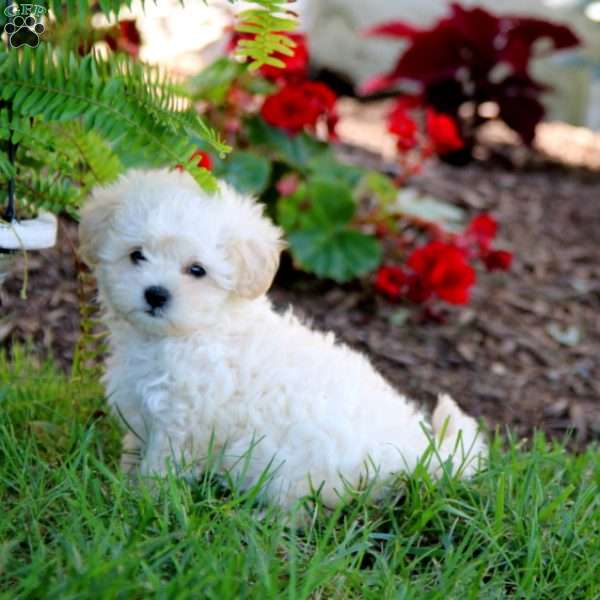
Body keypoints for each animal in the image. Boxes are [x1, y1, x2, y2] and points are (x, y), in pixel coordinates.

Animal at [79, 170, 486, 510]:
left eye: (197, 270)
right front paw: (119, 486)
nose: (155, 294)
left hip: (298, 464)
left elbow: (159, 469)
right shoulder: (142, 414)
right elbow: (134, 453)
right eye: (137, 255)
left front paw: (142, 504)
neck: (189, 334)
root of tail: (413, 450)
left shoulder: (183, 424)